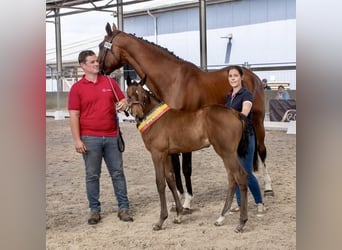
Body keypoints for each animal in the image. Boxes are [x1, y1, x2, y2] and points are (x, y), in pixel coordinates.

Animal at [97, 22, 274, 206]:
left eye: (102, 46)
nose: (98, 69)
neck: (173, 80)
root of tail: (253, 76)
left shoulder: (187, 129)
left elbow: (186, 167)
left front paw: (188, 200)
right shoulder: (172, 132)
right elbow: (175, 167)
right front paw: (179, 199)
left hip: (258, 121)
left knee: (261, 150)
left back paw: (268, 187)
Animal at [127, 76, 250, 232]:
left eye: (143, 95)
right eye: (129, 95)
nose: (138, 114)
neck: (156, 120)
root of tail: (236, 113)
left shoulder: (157, 154)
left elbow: (160, 183)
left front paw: (160, 221)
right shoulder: (167, 154)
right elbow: (171, 180)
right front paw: (179, 215)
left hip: (227, 153)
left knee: (240, 176)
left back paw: (241, 222)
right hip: (226, 153)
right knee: (232, 179)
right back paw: (221, 218)